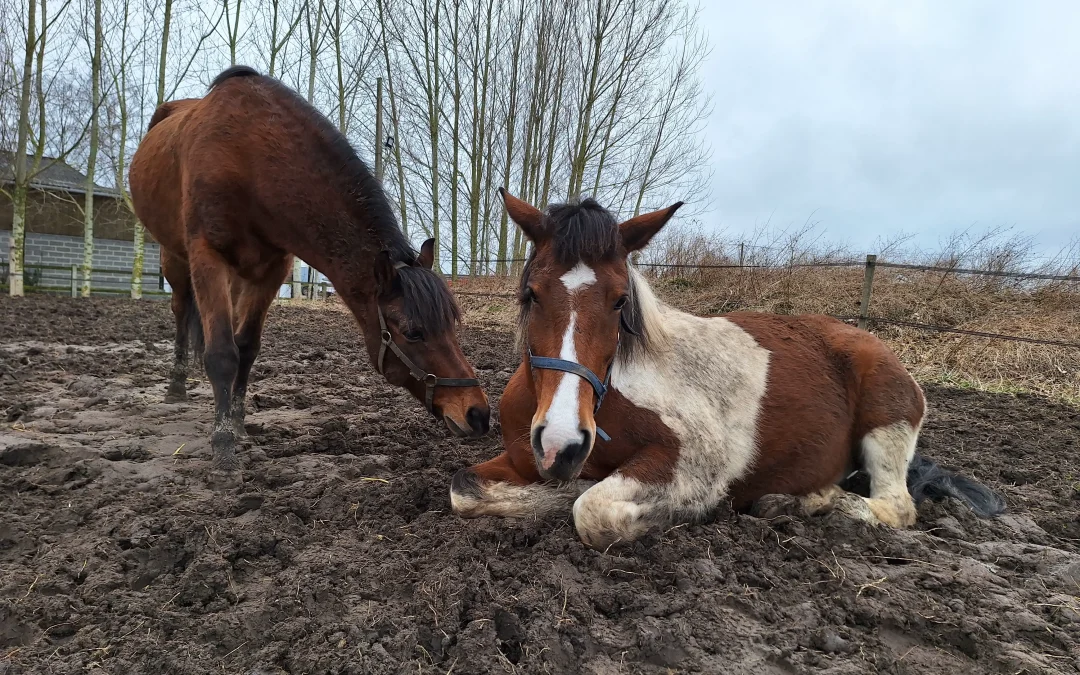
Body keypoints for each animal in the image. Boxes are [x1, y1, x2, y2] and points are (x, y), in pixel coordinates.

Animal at [129, 66, 490, 481]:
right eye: (413, 332)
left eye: (452, 324)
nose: (478, 413)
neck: (249, 160)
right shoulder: (208, 255)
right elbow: (221, 353)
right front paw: (223, 449)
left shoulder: (273, 268)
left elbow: (246, 347)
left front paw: (236, 424)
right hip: (175, 259)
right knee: (180, 312)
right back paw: (176, 387)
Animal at [450, 191, 1005, 550]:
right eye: (530, 293)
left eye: (620, 300)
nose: (561, 444)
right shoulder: (520, 458)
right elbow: (463, 488)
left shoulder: (694, 459)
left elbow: (591, 509)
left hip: (886, 425)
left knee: (896, 507)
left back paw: (812, 503)